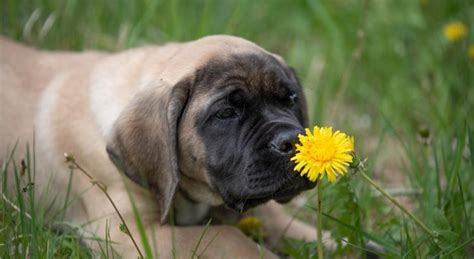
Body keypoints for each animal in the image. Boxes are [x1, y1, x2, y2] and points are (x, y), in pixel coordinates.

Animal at [0, 35, 334, 258]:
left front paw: (335, 243)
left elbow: (284, 222)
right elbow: (226, 237)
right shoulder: (131, 233)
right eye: (227, 112)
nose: (292, 141)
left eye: (290, 99)